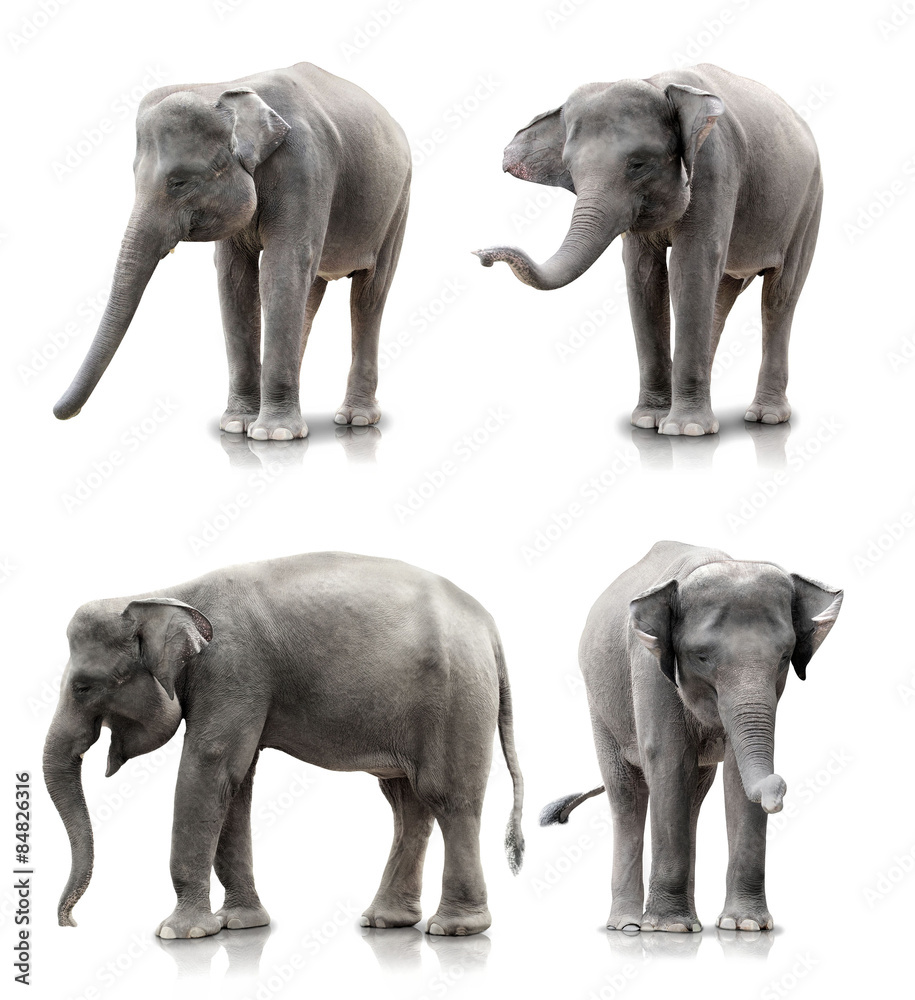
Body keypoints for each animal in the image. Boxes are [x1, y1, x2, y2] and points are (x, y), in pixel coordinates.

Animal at [43, 553, 524, 938]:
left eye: (84, 687)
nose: (70, 923)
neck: (164, 594)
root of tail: (489, 626)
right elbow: (236, 783)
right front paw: (240, 924)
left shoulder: (233, 669)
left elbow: (210, 766)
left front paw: (180, 933)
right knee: (407, 803)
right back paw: (385, 921)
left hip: (458, 697)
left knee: (448, 798)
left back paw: (454, 929)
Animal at [53, 62, 411, 440]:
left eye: (178, 183)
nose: (60, 413)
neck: (225, 88)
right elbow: (234, 276)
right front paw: (237, 425)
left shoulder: (306, 167)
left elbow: (282, 265)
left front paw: (274, 435)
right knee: (312, 286)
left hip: (398, 201)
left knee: (370, 293)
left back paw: (356, 419)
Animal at [475, 64, 822, 436]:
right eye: (570, 168)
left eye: (638, 164)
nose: (483, 255)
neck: (658, 85)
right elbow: (643, 275)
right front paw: (647, 421)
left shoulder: (716, 165)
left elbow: (690, 265)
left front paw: (685, 430)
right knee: (722, 294)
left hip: (809, 205)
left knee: (779, 295)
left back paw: (765, 417)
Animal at [540, 541, 842, 932]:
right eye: (701, 657)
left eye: (785, 657)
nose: (777, 793)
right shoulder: (648, 665)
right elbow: (667, 758)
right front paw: (668, 928)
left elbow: (734, 774)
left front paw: (745, 925)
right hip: (600, 708)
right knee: (626, 794)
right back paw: (628, 926)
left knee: (695, 794)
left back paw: (689, 923)